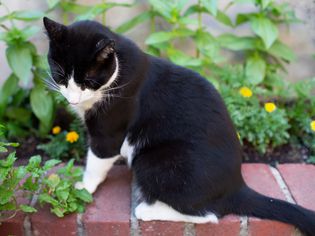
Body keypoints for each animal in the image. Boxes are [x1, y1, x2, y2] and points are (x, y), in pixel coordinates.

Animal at [43, 17, 315, 236]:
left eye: (88, 80)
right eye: (60, 75)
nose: (72, 99)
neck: (118, 69)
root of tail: (237, 186)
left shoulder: (109, 130)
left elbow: (96, 160)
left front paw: (84, 187)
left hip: (154, 162)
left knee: (210, 215)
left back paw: (146, 210)